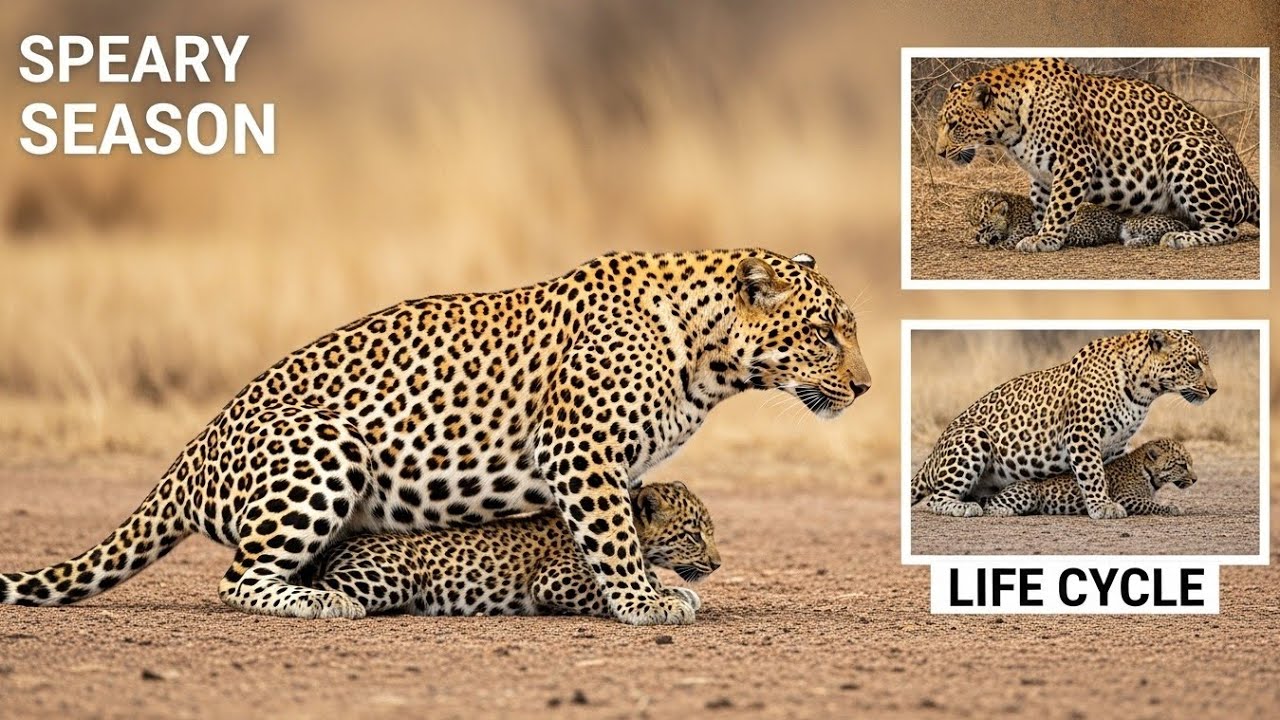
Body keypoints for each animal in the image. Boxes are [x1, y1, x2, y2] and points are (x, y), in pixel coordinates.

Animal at [310, 481, 718, 617]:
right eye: (694, 535)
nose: (717, 564)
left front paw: (672, 592)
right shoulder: (555, 579)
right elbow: (603, 590)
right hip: (395, 576)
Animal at [937, 58, 1260, 251]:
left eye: (953, 125)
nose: (940, 153)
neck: (1010, 125)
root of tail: (1248, 184)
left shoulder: (1075, 159)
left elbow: (1059, 205)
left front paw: (1046, 238)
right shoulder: (1041, 173)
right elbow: (1042, 205)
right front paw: (1039, 232)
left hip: (1183, 146)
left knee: (1227, 228)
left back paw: (1180, 238)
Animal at [981, 438, 1196, 517]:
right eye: (1182, 465)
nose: (1195, 480)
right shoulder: (1123, 497)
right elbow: (1149, 504)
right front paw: (1172, 508)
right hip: (1027, 494)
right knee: (990, 505)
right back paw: (1003, 511)